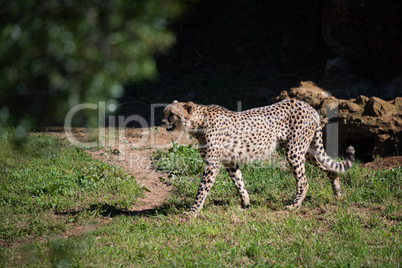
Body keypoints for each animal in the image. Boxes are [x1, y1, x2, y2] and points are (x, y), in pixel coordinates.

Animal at [161, 99, 354, 217]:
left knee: (304, 181)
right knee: (329, 168)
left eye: (171, 114)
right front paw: (245, 204)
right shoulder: (230, 162)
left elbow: (202, 189)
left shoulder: (212, 165)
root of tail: (308, 106)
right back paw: (338, 194)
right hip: (306, 151)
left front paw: (192, 212)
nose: (162, 122)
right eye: (164, 112)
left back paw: (294, 206)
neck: (198, 124)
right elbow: (239, 183)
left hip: (293, 151)